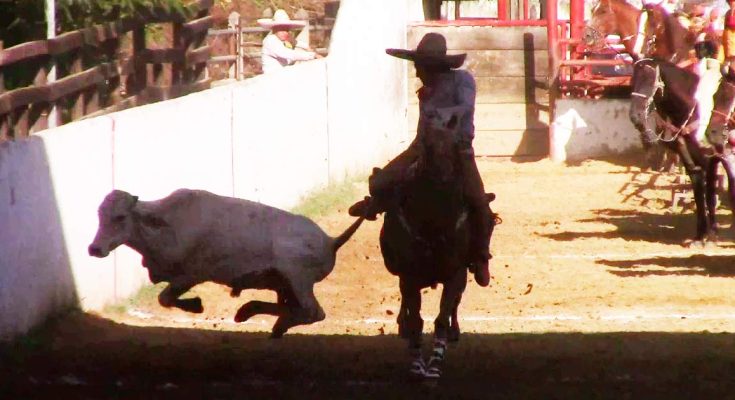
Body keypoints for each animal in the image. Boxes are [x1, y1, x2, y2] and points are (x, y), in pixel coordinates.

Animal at [89, 189, 366, 336]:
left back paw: (270, 321)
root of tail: (330, 241)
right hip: (284, 285)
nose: (95, 248)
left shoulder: (189, 276)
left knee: (313, 312)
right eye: (99, 215)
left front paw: (196, 306)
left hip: (297, 278)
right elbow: (164, 299)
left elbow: (165, 298)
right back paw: (251, 313)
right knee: (293, 308)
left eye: (120, 217)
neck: (166, 226)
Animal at [380, 118, 500, 378]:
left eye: (455, 147)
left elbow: (443, 317)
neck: (432, 223)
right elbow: (416, 319)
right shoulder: (409, 277)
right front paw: (417, 364)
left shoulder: (456, 274)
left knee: (455, 303)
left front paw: (435, 362)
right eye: (426, 147)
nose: (443, 178)